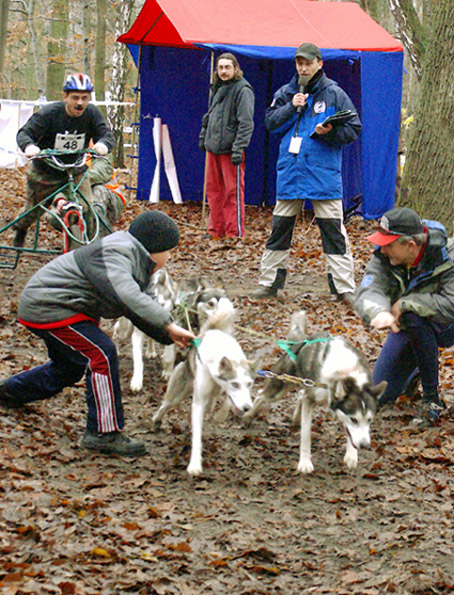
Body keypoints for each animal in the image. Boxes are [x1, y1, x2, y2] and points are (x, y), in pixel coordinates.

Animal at [153, 304, 258, 478]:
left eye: (249, 384)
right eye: (235, 384)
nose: (247, 408)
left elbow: (227, 402)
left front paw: (220, 416)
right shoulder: (198, 403)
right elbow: (197, 436)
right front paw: (195, 464)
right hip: (179, 393)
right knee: (165, 404)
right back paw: (156, 419)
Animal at [245, 312, 386, 474]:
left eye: (369, 420)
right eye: (354, 419)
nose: (364, 445)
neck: (346, 373)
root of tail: (302, 341)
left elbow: (350, 434)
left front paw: (351, 454)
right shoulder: (311, 400)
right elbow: (306, 435)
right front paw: (305, 462)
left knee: (300, 394)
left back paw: (296, 417)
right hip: (281, 387)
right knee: (261, 394)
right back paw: (248, 415)